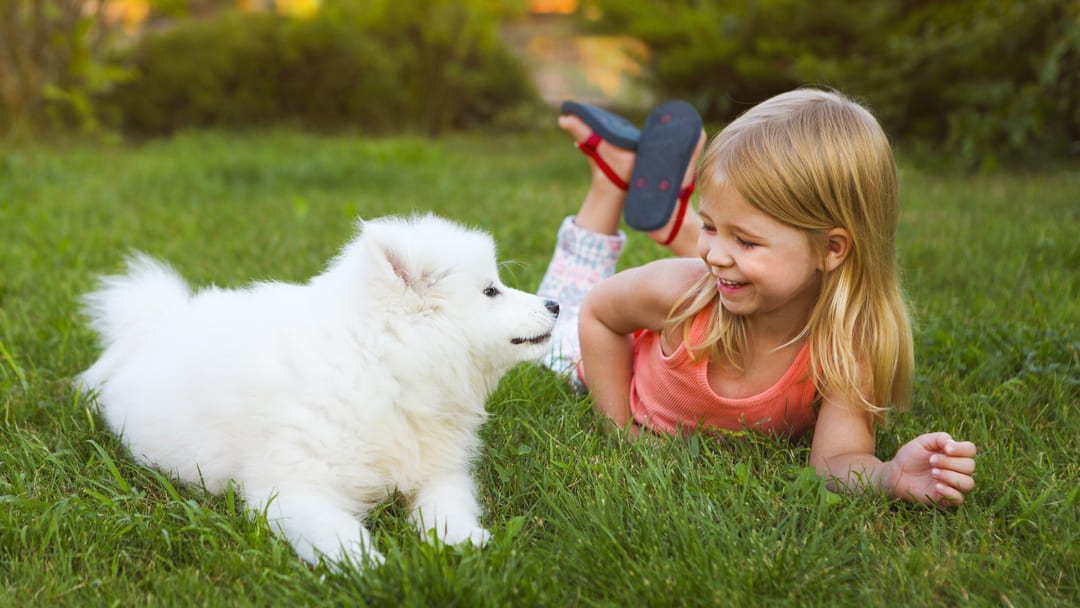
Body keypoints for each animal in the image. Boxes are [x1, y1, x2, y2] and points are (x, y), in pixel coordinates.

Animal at [79, 213, 561, 565]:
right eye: (491, 291)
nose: (555, 304)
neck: (380, 367)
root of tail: (156, 321)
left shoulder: (438, 470)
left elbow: (447, 505)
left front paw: (462, 542)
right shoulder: (292, 489)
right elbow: (341, 532)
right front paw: (371, 568)